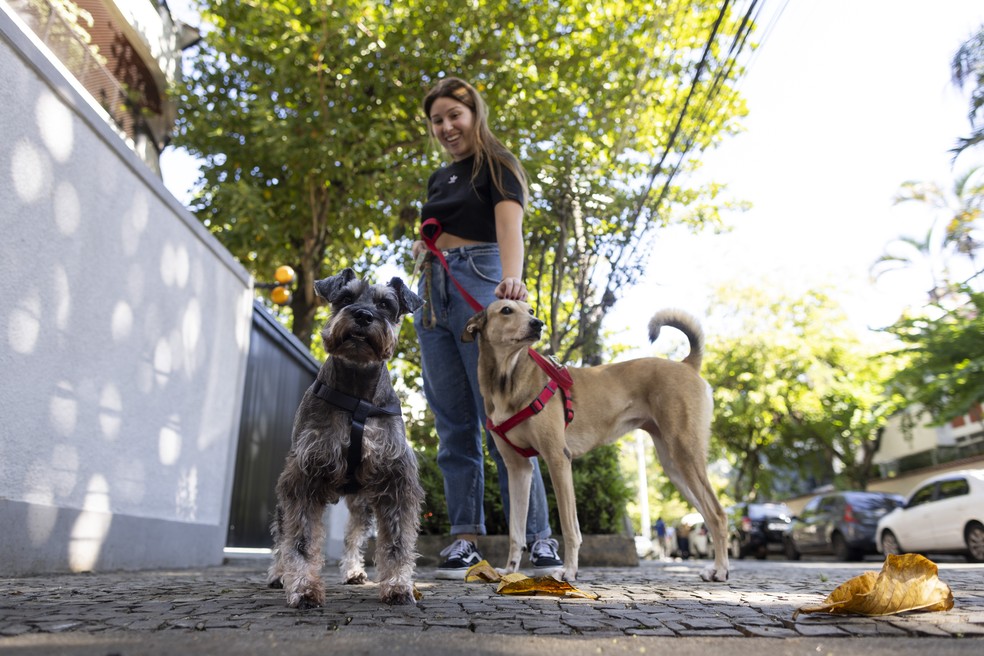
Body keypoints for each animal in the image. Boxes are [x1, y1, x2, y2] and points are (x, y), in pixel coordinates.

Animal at [268, 270, 424, 608]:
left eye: (386, 304)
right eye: (345, 298)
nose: (363, 315)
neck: (357, 396)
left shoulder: (395, 479)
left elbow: (396, 542)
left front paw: (397, 585)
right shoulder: (303, 476)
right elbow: (299, 540)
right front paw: (303, 587)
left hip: (361, 501)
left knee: (354, 534)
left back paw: (353, 571)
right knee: (281, 533)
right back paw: (278, 573)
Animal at [464, 300, 732, 580]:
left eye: (530, 311)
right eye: (506, 310)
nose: (538, 324)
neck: (507, 379)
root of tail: (686, 364)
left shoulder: (558, 459)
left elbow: (570, 527)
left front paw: (570, 571)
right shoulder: (518, 469)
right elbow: (515, 530)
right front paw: (509, 570)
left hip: (685, 454)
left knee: (718, 515)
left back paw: (721, 570)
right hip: (675, 468)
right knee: (707, 515)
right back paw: (716, 567)